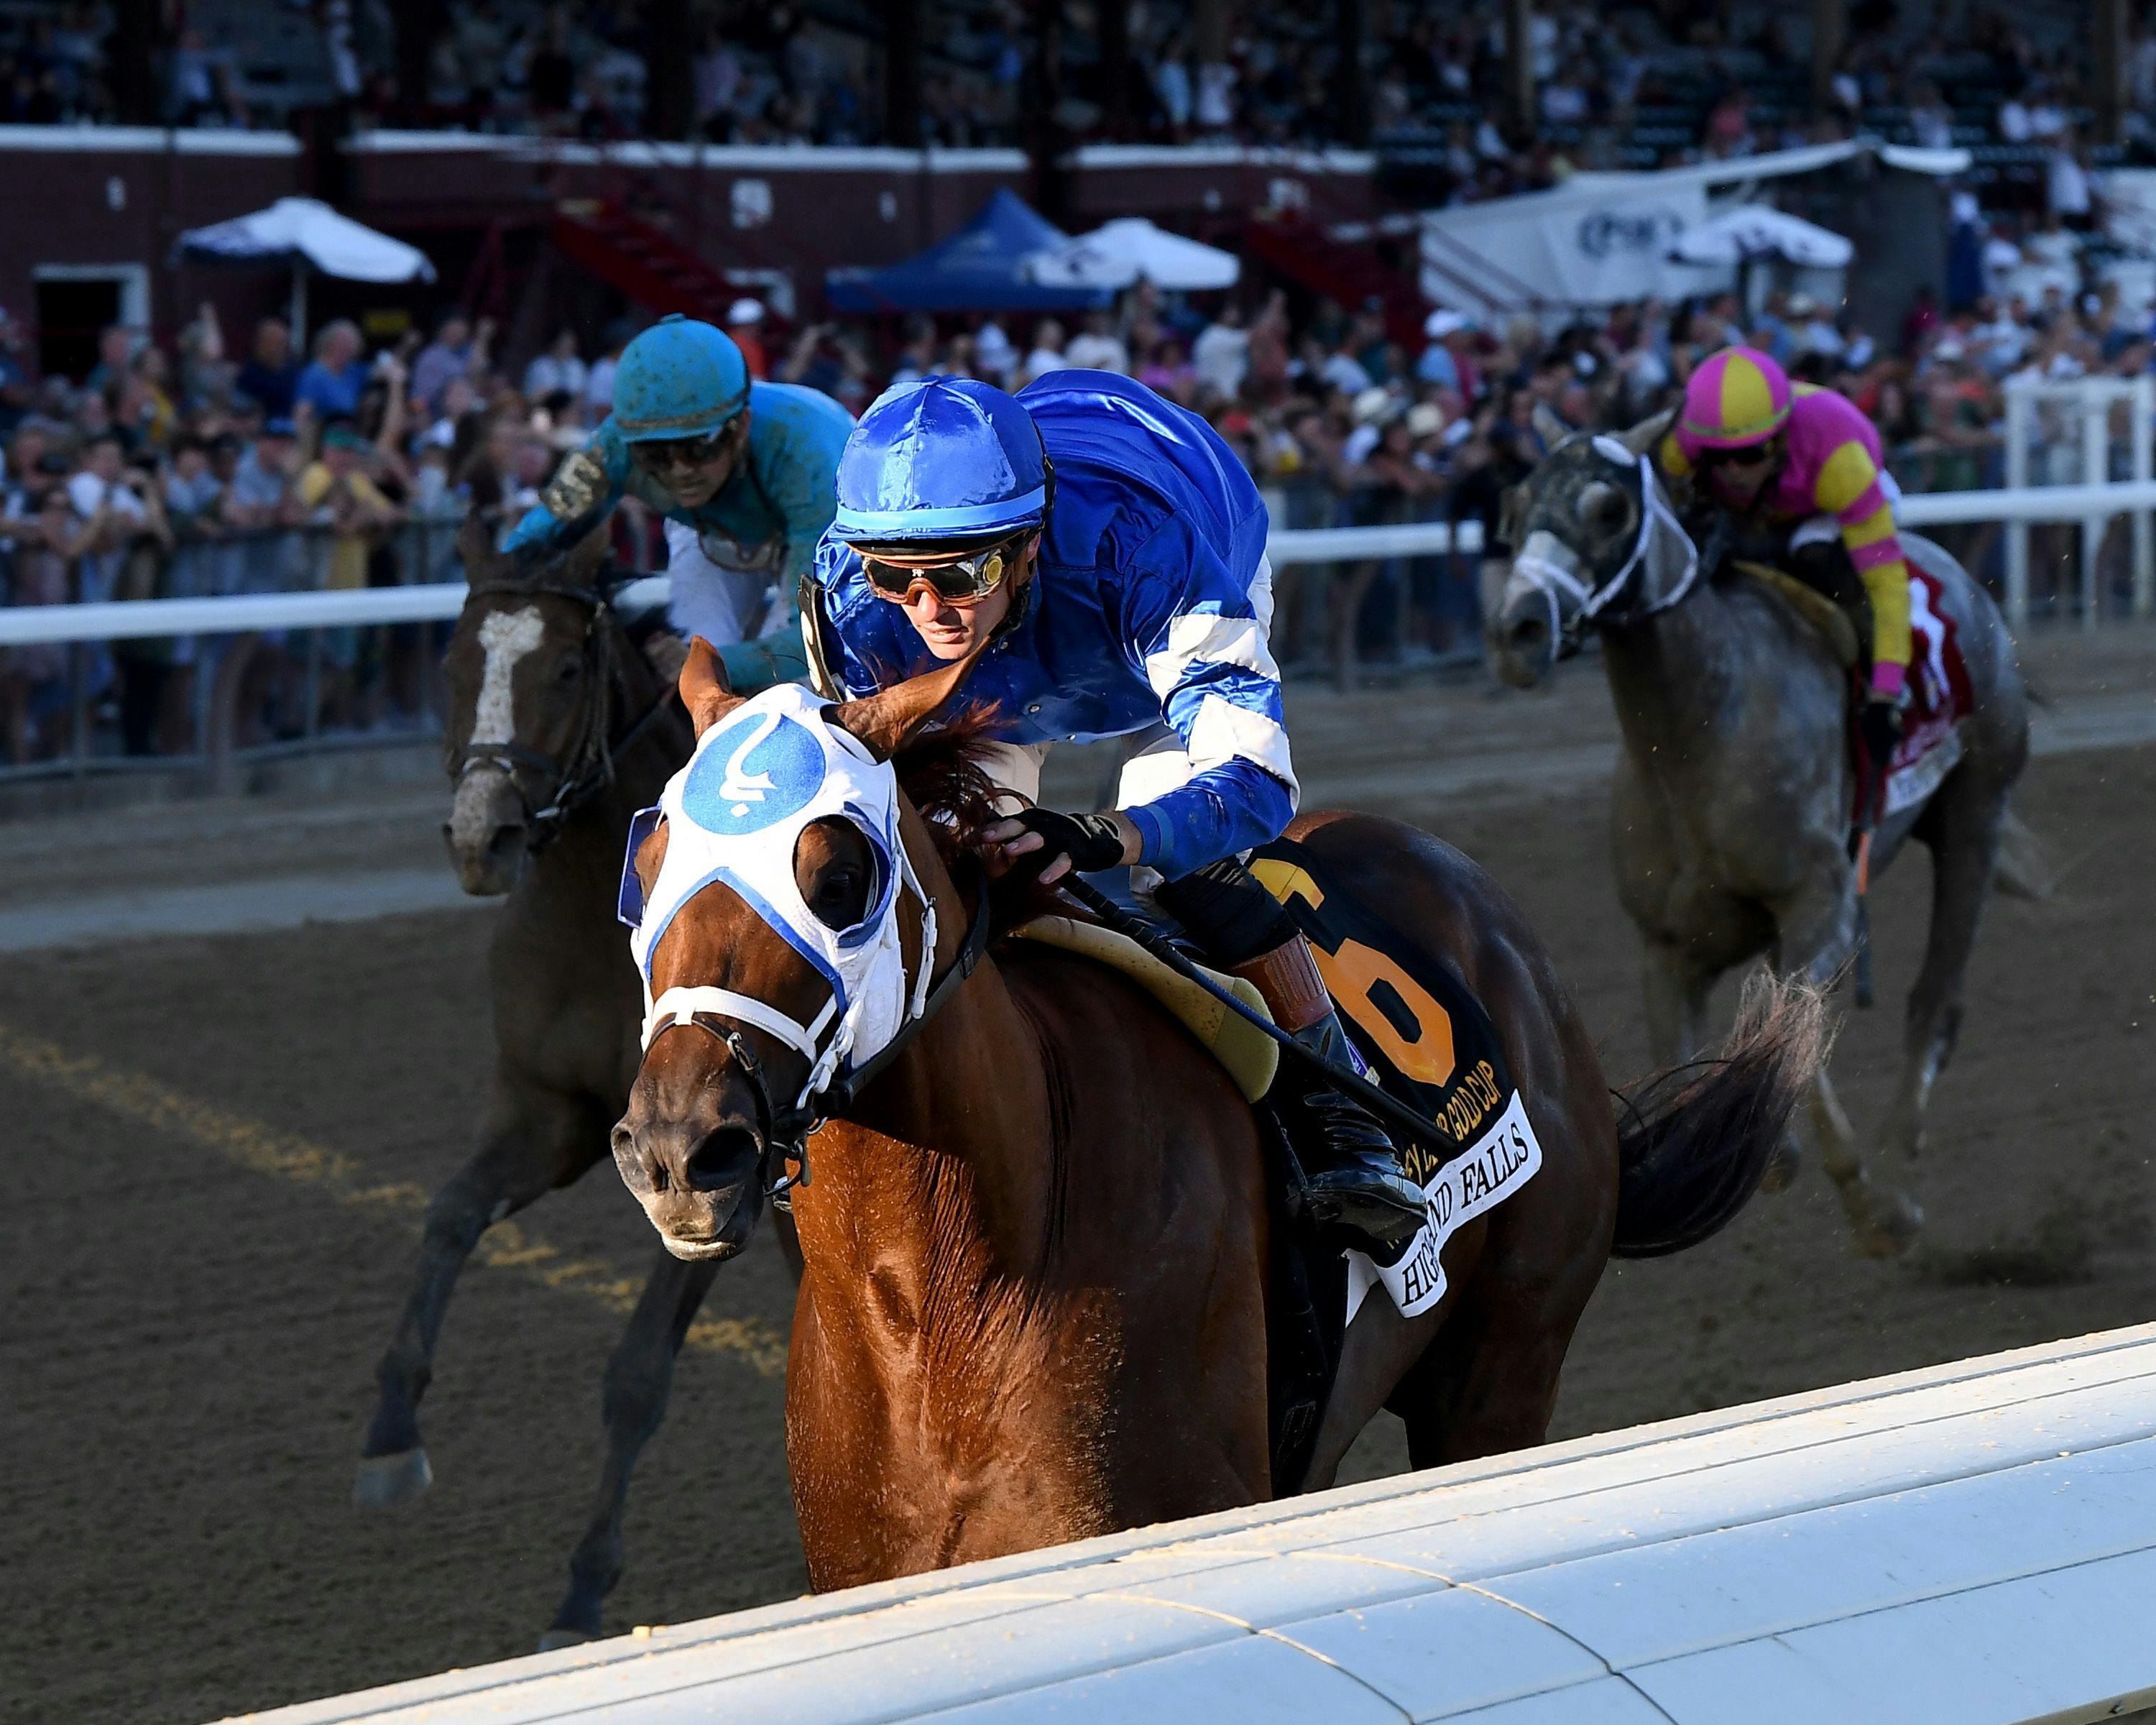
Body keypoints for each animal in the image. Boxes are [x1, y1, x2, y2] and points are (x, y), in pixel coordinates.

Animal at [356, 522, 785, 1647]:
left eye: (561, 668)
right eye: (453, 663)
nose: (483, 839)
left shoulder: (722, 1175)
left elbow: (635, 1376)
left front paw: (583, 1591)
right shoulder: (548, 1111)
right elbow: (448, 1216)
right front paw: (391, 1431)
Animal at [1492, 412, 2027, 1259]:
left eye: (1610, 509)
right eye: (1514, 507)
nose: (1517, 629)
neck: (1699, 737)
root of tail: (1961, 578)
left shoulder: (1822, 903)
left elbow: (1792, 1047)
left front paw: (1871, 1202)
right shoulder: (1668, 949)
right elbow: (1706, 1067)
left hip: (1978, 808)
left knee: (1936, 999)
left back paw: (1898, 1161)